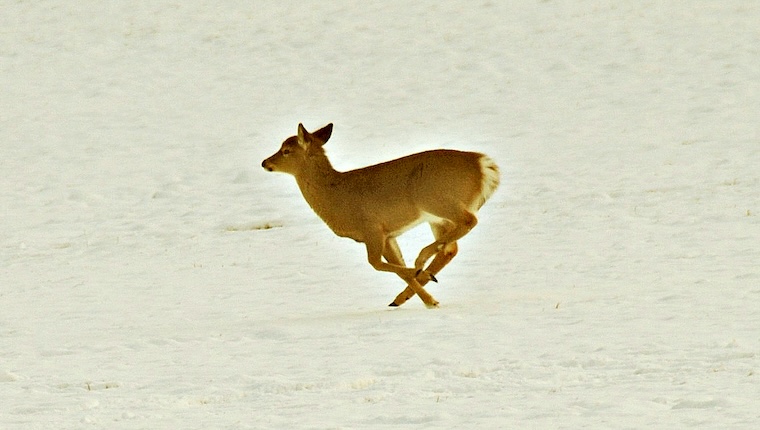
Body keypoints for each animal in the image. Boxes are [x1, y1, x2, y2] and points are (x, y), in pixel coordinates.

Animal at [261, 123, 500, 308]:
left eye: (286, 150)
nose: (265, 162)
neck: (336, 197)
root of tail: (485, 166)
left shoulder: (372, 227)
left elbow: (374, 263)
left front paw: (426, 292)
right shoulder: (388, 234)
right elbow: (397, 267)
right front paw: (426, 297)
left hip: (438, 200)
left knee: (469, 221)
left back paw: (420, 262)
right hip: (436, 216)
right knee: (450, 248)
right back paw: (410, 287)